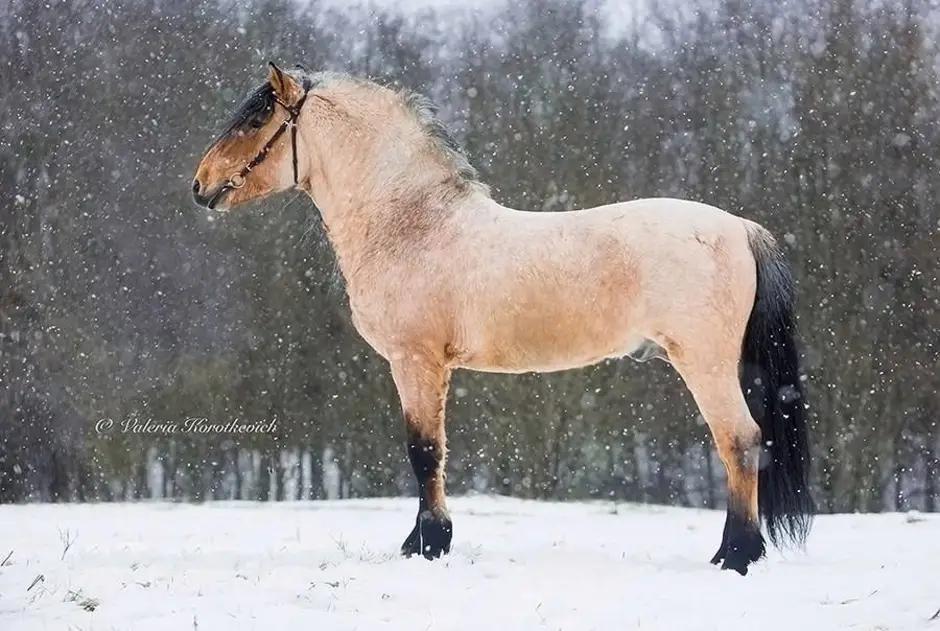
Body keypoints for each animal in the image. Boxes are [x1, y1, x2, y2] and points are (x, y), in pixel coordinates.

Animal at [191, 64, 816, 576]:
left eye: (257, 119)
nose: (199, 185)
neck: (413, 224)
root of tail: (740, 228)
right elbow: (434, 452)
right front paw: (423, 541)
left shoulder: (415, 361)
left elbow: (423, 452)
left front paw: (430, 545)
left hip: (706, 365)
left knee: (740, 442)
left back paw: (736, 557)